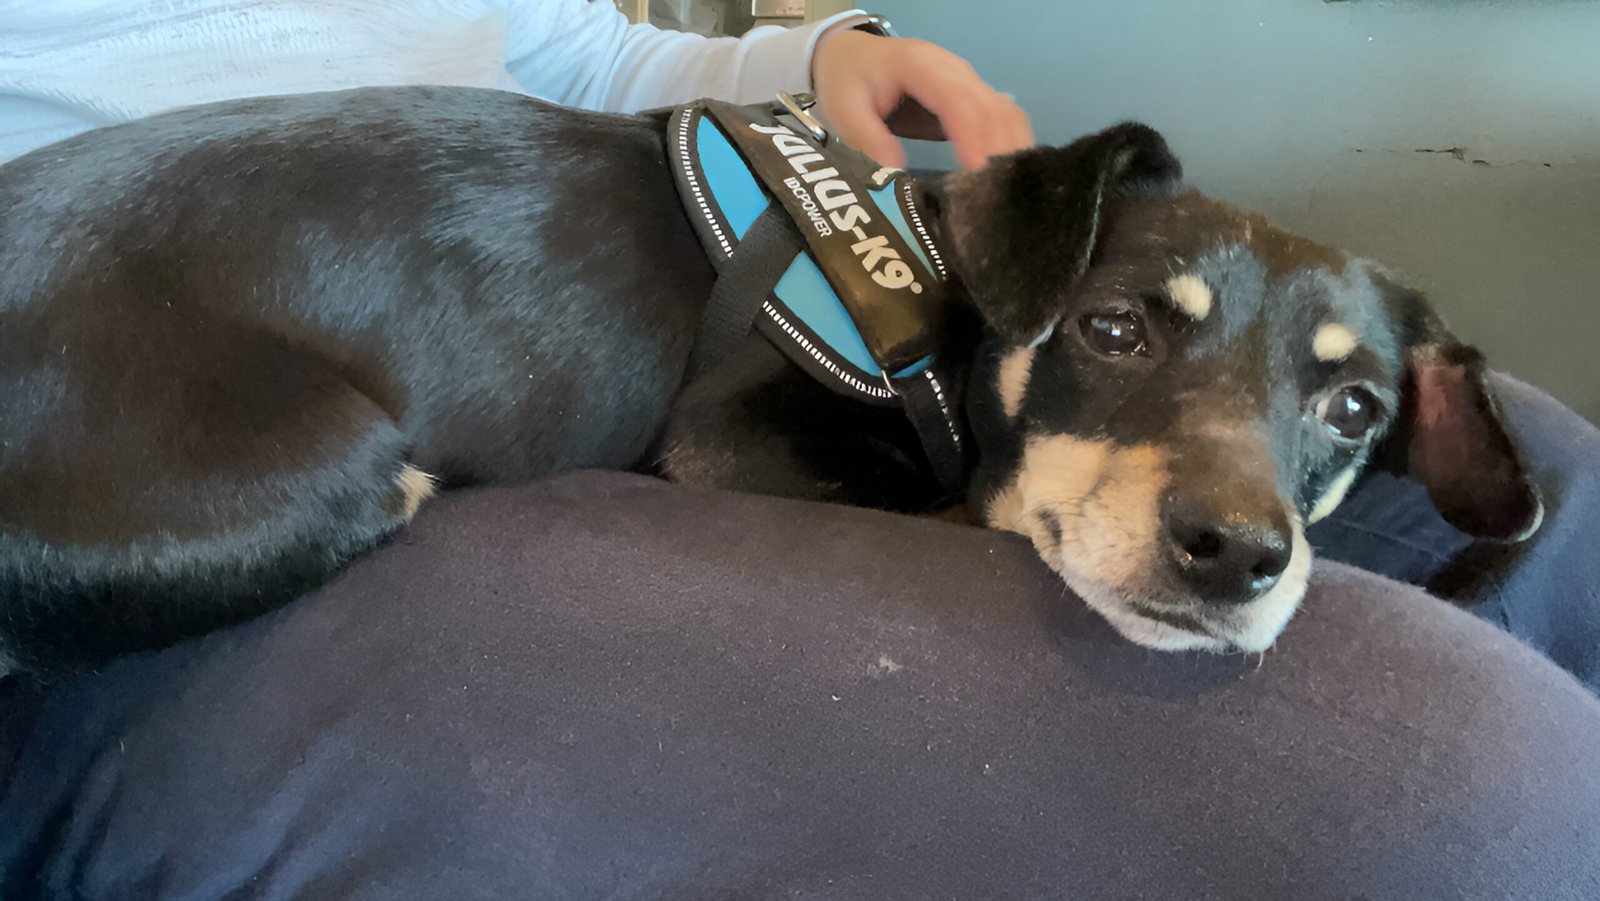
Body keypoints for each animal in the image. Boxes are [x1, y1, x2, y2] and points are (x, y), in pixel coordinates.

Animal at [0, 88, 1548, 672]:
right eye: (1112, 331)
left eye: (1355, 410)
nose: (1236, 554)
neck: (942, 302)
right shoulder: (726, 444)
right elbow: (957, 507)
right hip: (355, 472)